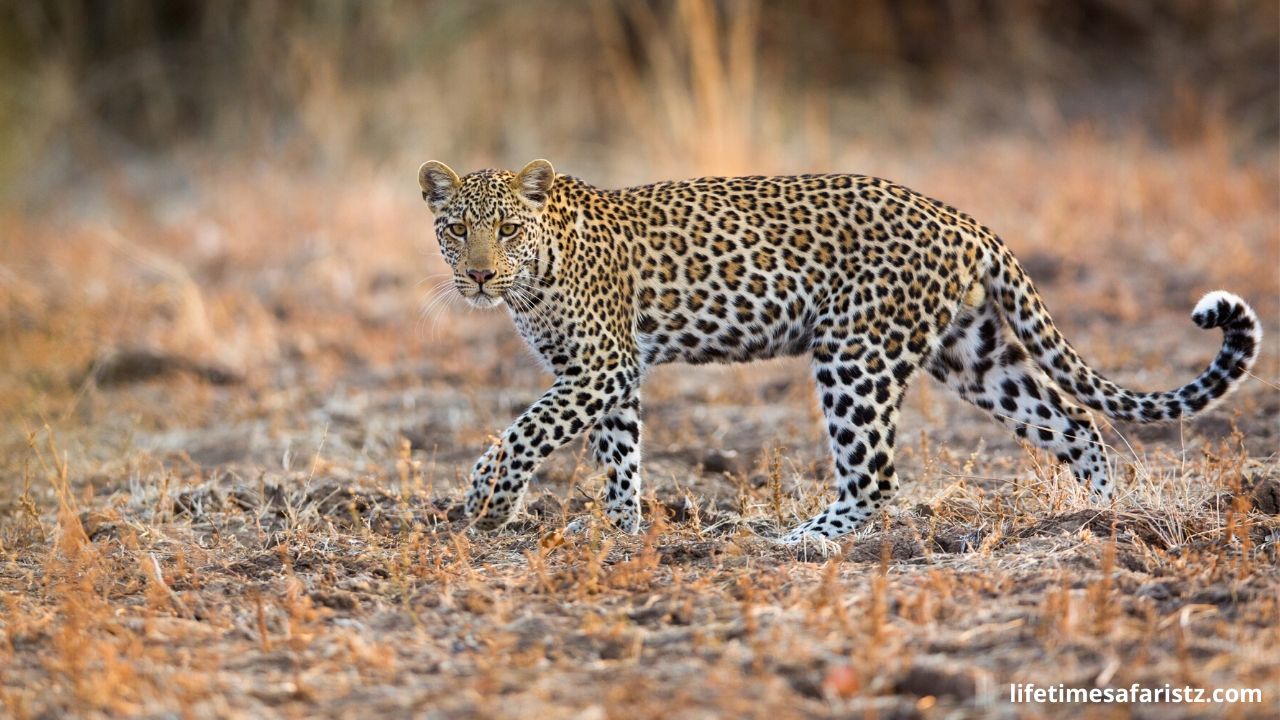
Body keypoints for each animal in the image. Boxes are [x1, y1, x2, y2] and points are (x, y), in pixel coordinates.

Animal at [416, 158, 1261, 543]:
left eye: (508, 230)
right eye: (456, 230)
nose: (480, 275)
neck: (537, 274)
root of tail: (964, 221)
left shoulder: (601, 366)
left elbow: (525, 432)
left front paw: (486, 502)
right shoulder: (605, 377)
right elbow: (615, 456)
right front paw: (626, 532)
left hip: (856, 355)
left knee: (876, 476)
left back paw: (799, 542)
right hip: (973, 355)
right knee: (1076, 423)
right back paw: (1101, 524)